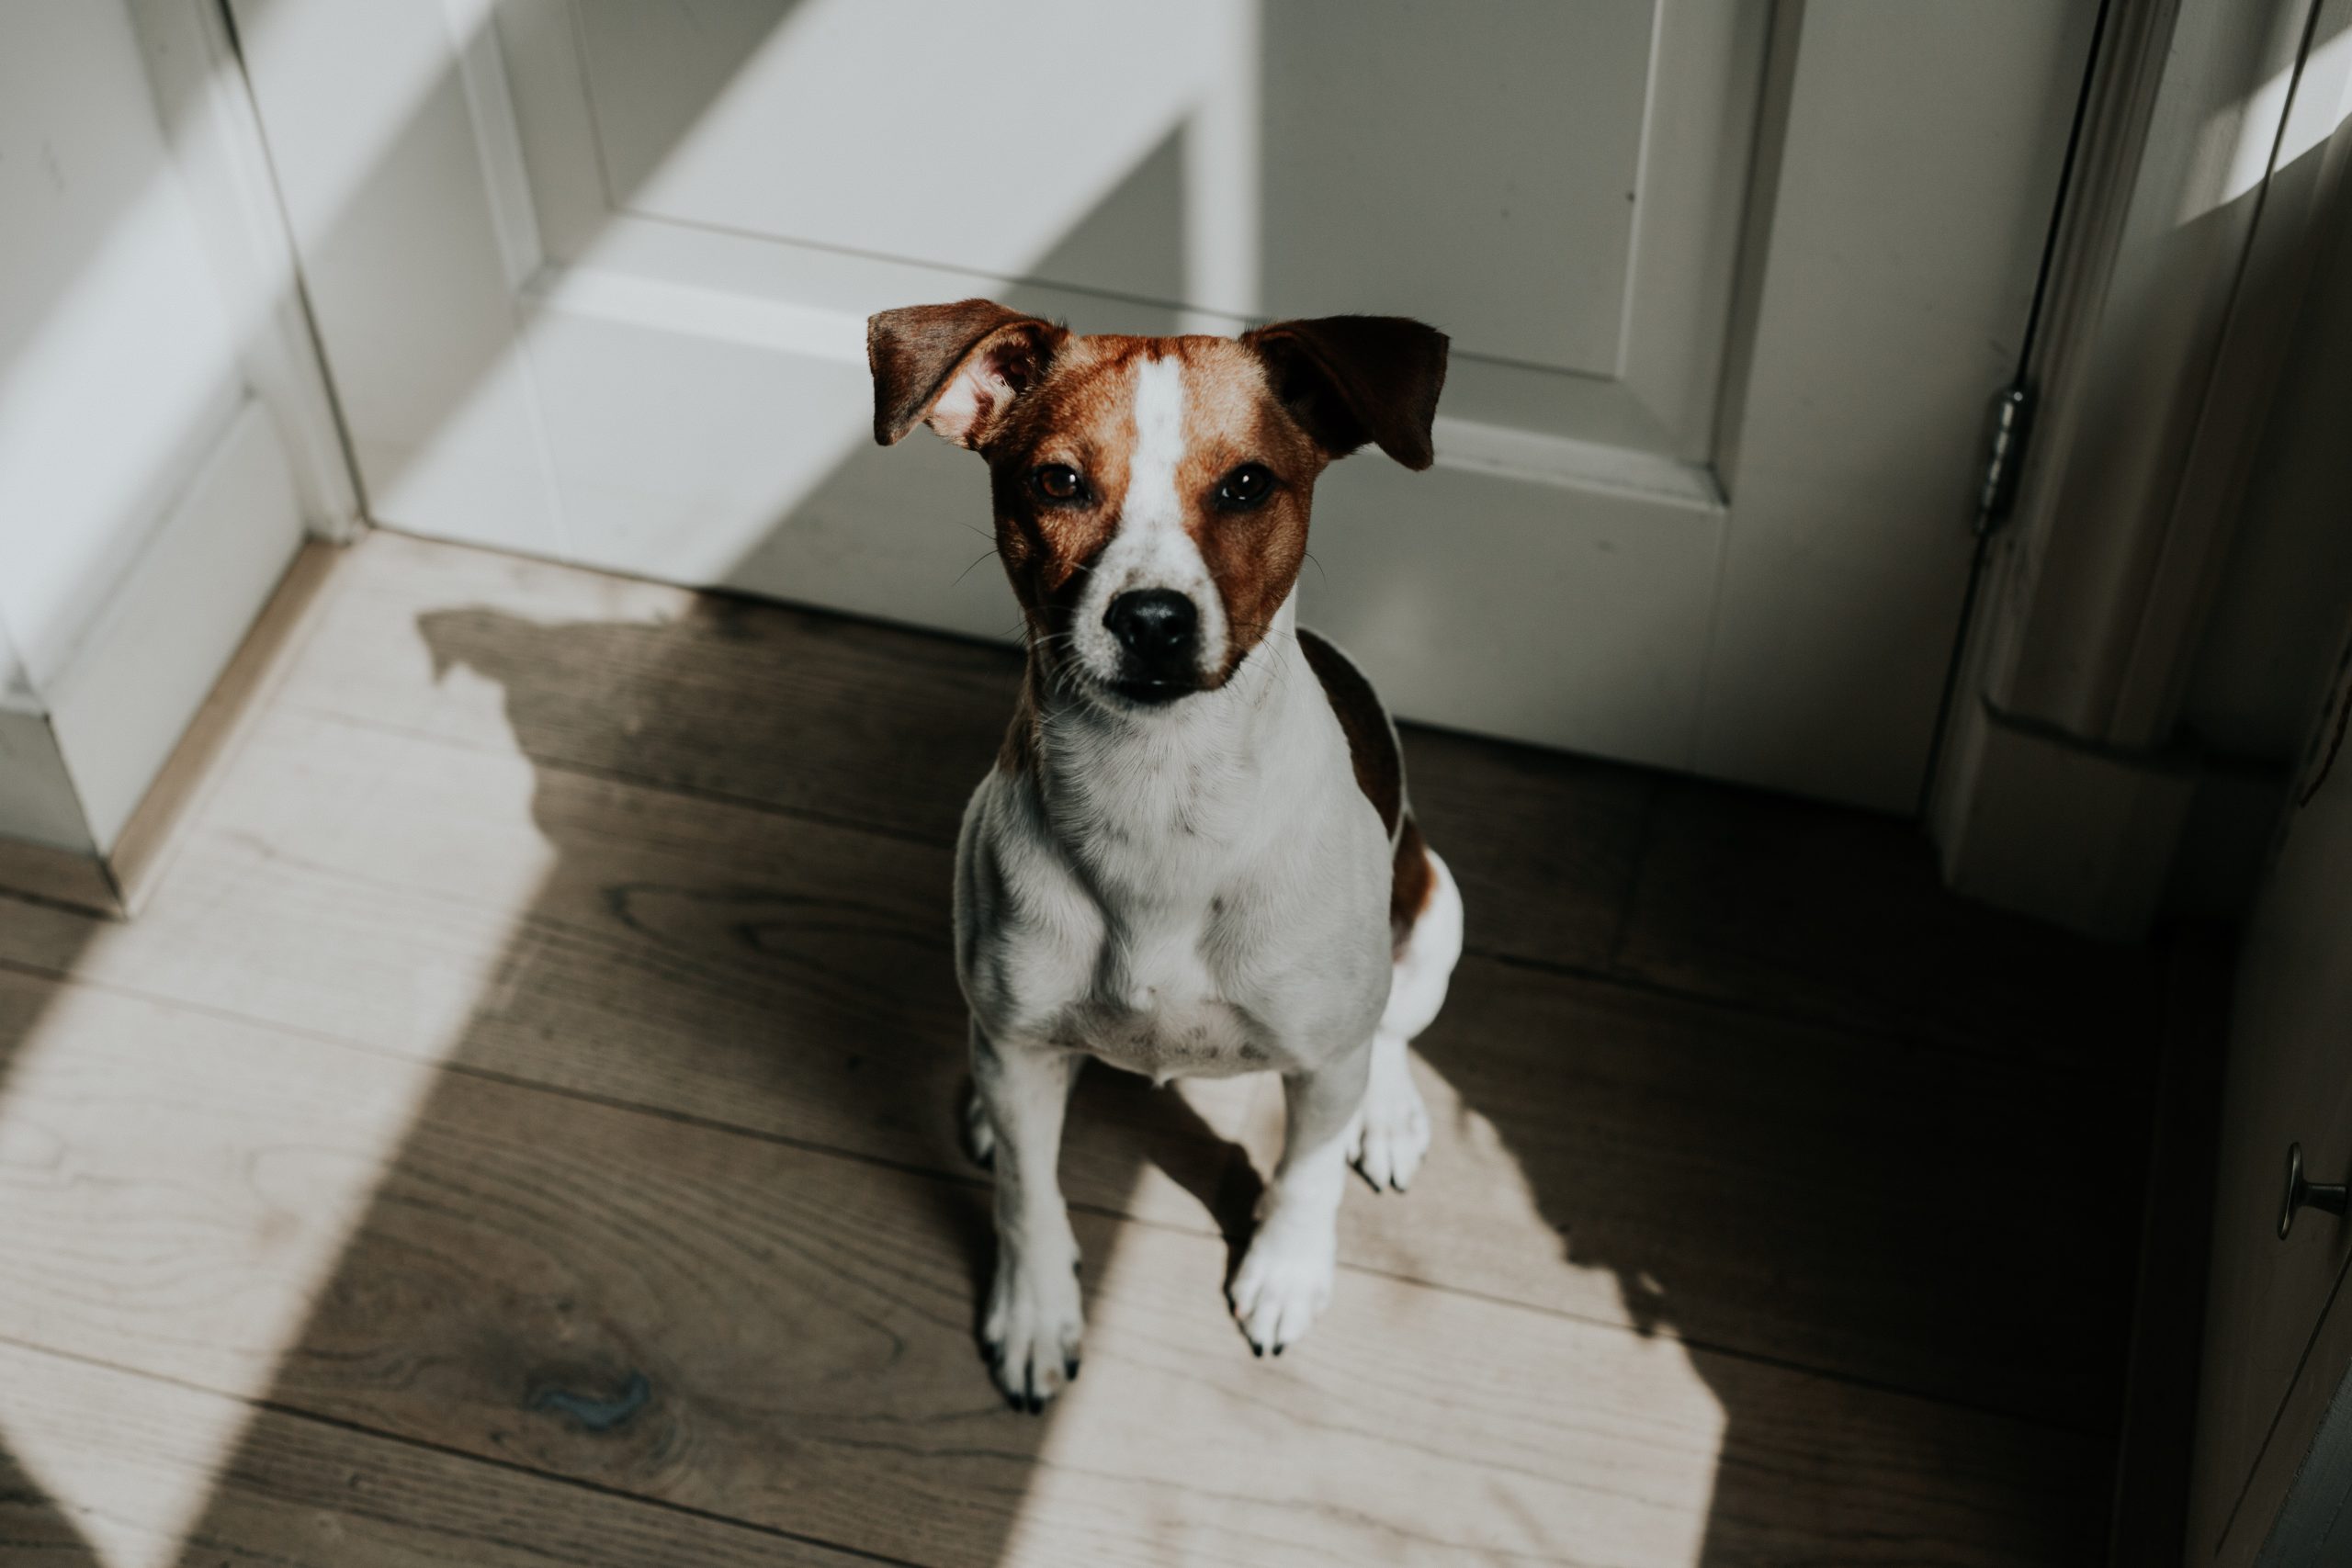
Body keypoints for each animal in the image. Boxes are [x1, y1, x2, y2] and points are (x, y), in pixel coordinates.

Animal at [875, 303, 1458, 1410]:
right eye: (1058, 480)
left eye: (1246, 484)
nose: (1150, 619)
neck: (1159, 793)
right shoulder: (1018, 1036)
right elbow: (1027, 1192)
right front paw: (1035, 1309)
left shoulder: (1324, 1058)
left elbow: (1307, 1172)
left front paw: (1284, 1272)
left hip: (1438, 911)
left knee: (1395, 1032)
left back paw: (1391, 1114)